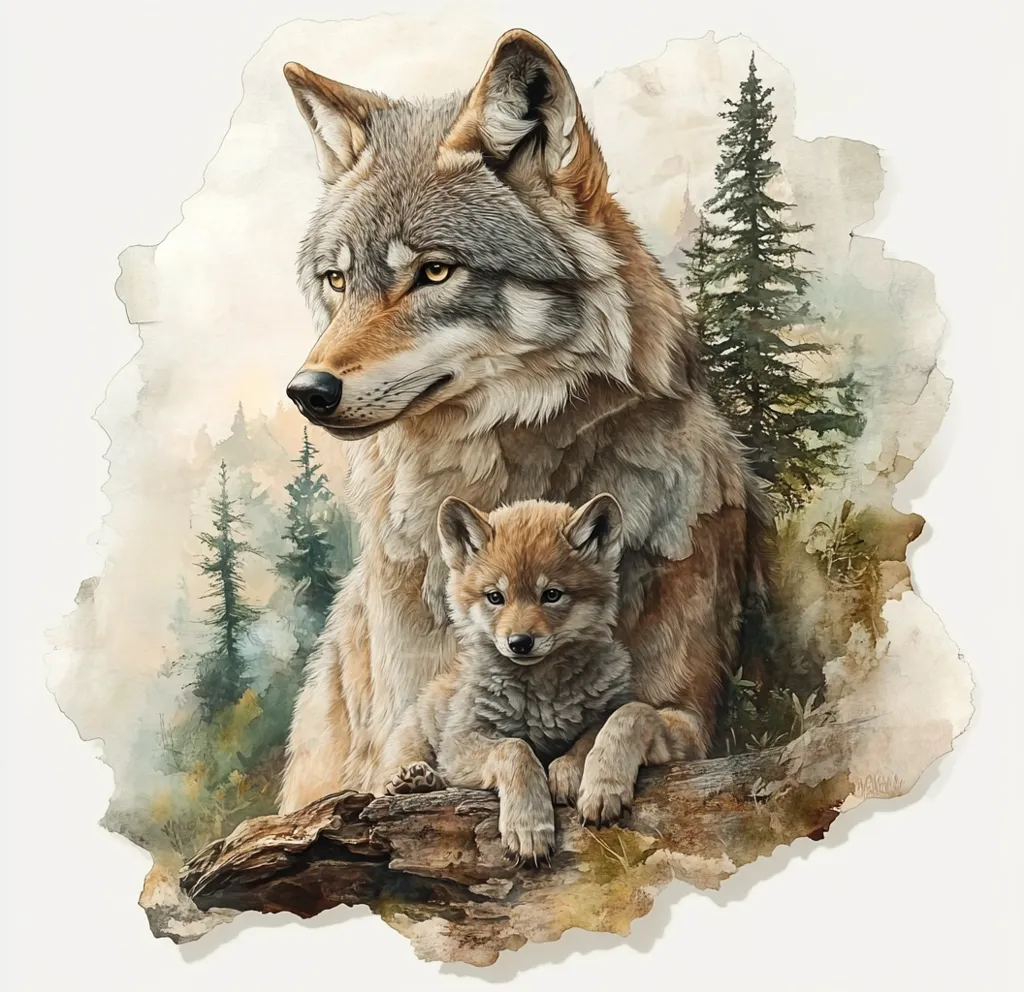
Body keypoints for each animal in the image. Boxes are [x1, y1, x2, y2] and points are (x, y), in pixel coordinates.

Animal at [380, 493, 634, 857]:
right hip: (413, 737)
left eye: (551, 595)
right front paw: (529, 827)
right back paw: (413, 780)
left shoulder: (608, 709)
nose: (520, 643)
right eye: (495, 597)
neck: (543, 697)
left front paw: (567, 772)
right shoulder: (461, 743)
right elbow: (515, 749)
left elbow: (590, 736)